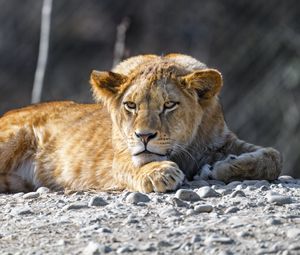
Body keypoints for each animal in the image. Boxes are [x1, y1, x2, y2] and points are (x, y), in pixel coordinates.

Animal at [0, 54, 282, 193]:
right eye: (131, 105)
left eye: (169, 105)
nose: (144, 136)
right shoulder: (121, 154)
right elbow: (133, 165)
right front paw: (159, 173)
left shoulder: (222, 140)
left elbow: (273, 157)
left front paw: (222, 167)